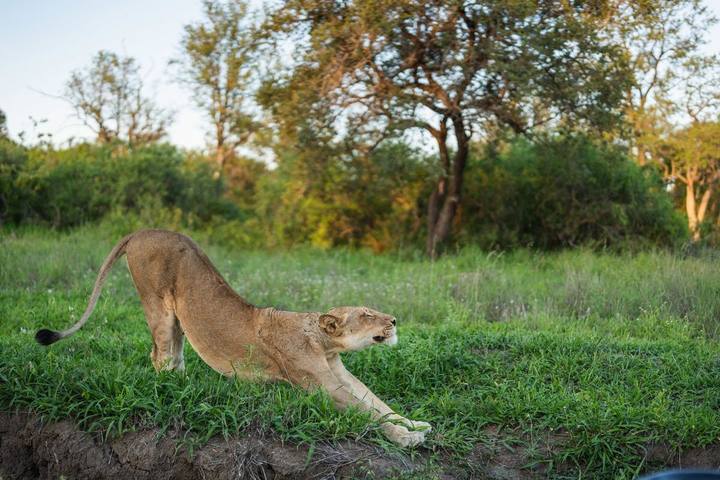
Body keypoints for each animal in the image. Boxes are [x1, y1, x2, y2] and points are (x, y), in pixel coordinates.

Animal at [35, 229, 431, 447]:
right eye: (366, 315)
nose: (394, 320)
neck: (323, 341)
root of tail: (140, 231)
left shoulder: (338, 374)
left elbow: (377, 403)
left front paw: (414, 423)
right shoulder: (320, 385)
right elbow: (368, 415)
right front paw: (408, 438)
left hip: (178, 319)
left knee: (172, 356)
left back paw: (186, 388)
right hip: (157, 304)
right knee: (160, 356)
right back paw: (172, 394)